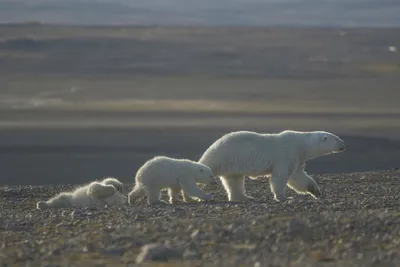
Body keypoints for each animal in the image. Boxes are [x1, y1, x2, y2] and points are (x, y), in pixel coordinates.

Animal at [200, 131, 346, 202]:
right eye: (338, 138)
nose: (344, 145)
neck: (301, 143)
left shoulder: (298, 158)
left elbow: (298, 177)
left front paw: (316, 191)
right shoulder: (287, 153)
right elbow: (281, 176)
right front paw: (284, 197)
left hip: (232, 165)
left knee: (234, 181)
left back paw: (244, 197)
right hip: (225, 157)